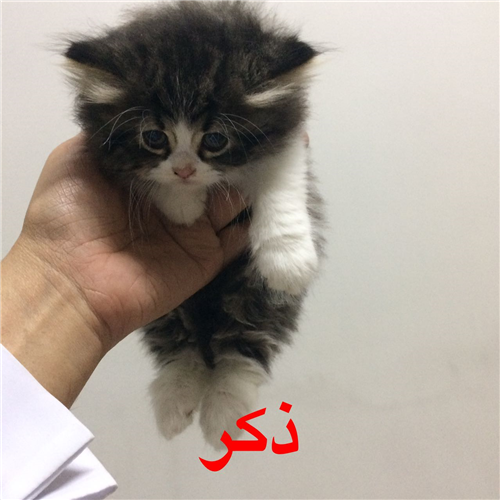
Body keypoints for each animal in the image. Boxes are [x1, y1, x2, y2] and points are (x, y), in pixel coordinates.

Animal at [64, 0, 325, 449]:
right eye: (154, 138)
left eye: (215, 140)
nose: (185, 170)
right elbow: (157, 186)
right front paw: (183, 205)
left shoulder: (287, 143)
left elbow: (281, 183)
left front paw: (288, 259)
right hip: (167, 308)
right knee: (180, 348)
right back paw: (176, 399)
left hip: (254, 294)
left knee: (242, 346)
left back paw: (223, 414)